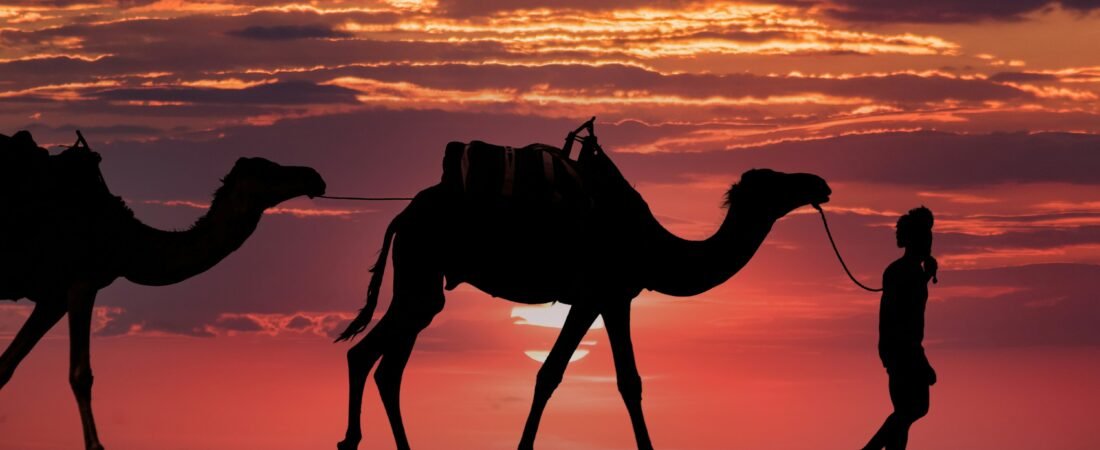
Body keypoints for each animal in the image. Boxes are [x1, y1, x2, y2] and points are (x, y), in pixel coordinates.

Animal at [0, 130, 326, 450]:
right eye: (268, 170)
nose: (314, 176)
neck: (128, 242)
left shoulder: (53, 297)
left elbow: (6, 366)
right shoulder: (83, 281)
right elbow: (81, 375)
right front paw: (96, 445)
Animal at [334, 138, 831, 450]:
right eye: (777, 181)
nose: (820, 183)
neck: (653, 246)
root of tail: (404, 215)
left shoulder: (612, 299)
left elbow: (625, 381)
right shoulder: (600, 295)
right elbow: (557, 375)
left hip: (422, 278)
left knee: (386, 364)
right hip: (421, 266)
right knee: (373, 355)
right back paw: (353, 440)